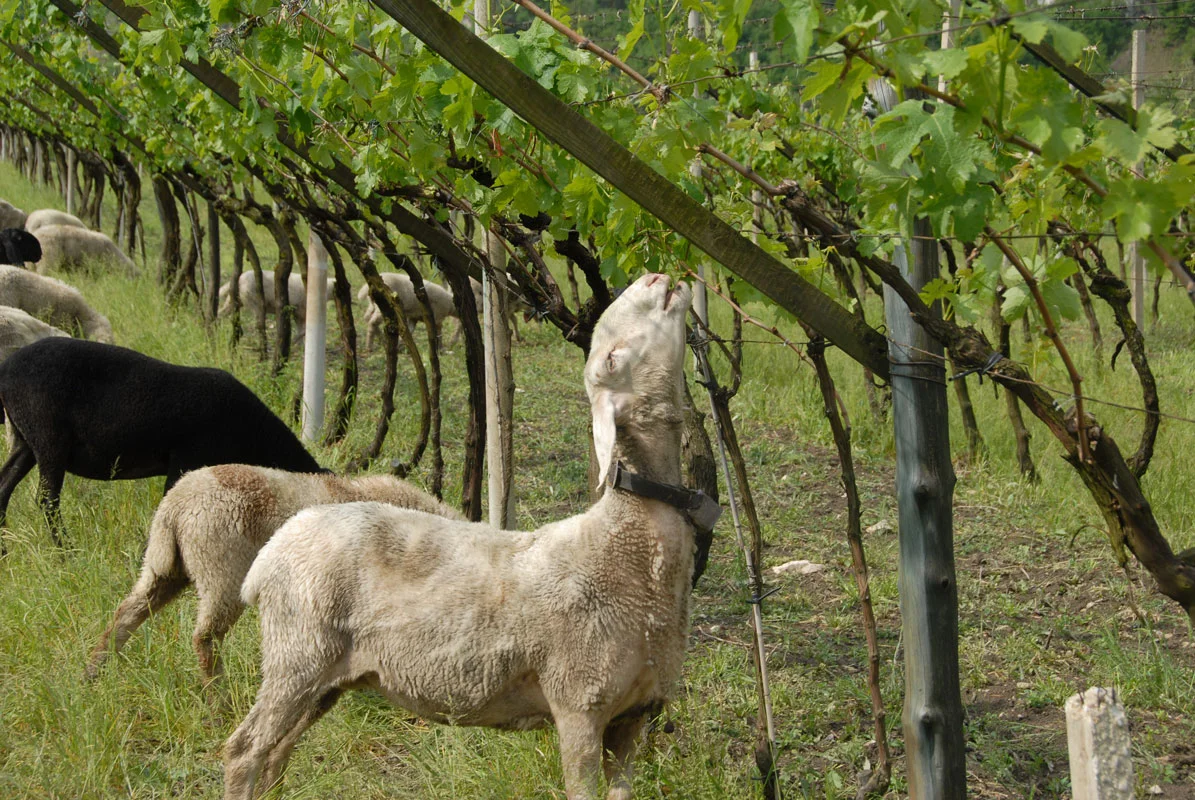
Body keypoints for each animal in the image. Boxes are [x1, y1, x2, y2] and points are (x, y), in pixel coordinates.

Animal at [0, 338, 323, 549]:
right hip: (48, 435)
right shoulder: (186, 458)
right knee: (47, 500)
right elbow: (169, 504)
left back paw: (4, 549)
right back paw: (66, 552)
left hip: (25, 438)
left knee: (5, 485)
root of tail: (6, 368)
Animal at [86, 465, 463, 682]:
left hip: (163, 567)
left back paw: (95, 672)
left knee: (127, 613)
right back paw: (219, 701)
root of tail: (174, 507)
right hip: (222, 572)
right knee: (206, 637)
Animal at [223, 273, 701, 800]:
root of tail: (274, 550)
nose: (655, 277)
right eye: (612, 359)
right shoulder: (579, 702)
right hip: (298, 653)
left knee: (275, 754)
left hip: (326, 675)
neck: (626, 543)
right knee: (245, 751)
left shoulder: (634, 715)